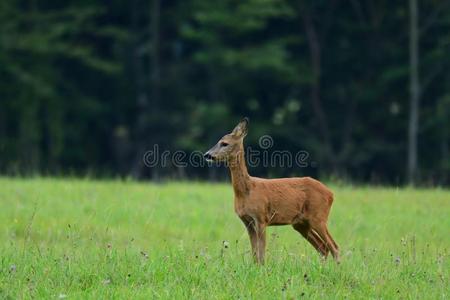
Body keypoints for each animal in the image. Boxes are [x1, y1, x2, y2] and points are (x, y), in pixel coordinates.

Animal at [202, 118, 340, 264]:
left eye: (224, 143)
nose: (207, 155)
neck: (246, 191)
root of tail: (331, 194)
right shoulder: (247, 221)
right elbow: (255, 253)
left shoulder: (261, 217)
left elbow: (261, 253)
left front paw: (262, 267)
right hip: (300, 223)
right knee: (323, 248)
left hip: (318, 217)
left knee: (334, 247)